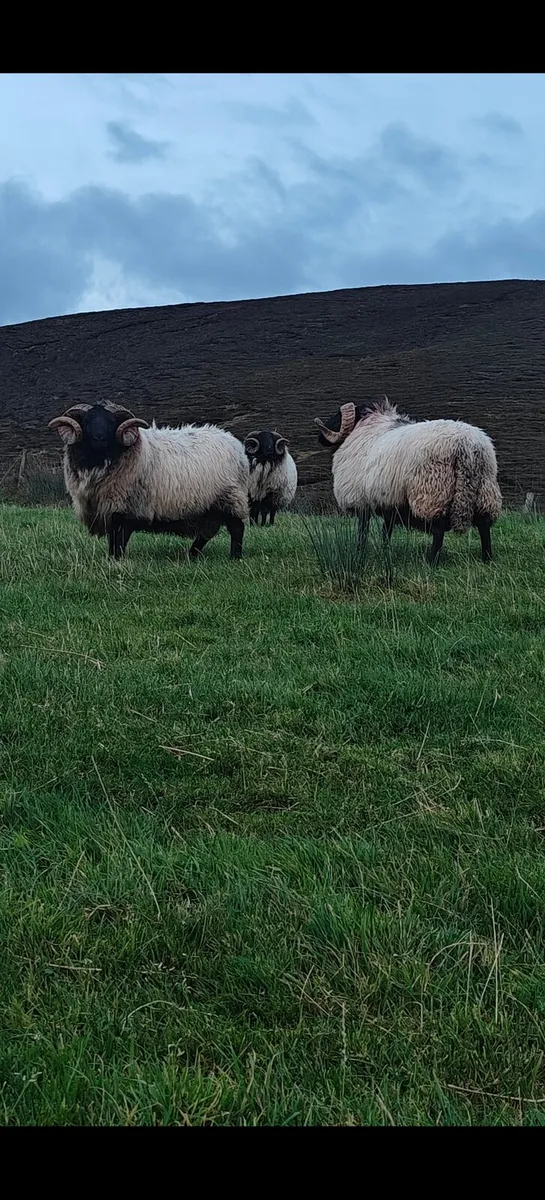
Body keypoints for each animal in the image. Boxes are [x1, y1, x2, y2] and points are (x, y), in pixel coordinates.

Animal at [48, 401, 249, 560]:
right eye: (87, 421)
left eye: (111, 422)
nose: (99, 438)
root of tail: (236, 445)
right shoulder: (108, 509)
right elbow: (113, 539)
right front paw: (111, 558)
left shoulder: (127, 508)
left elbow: (120, 539)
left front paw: (117, 560)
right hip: (211, 505)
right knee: (208, 531)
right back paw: (191, 554)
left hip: (231, 497)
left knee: (236, 528)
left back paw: (235, 557)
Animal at [314, 396, 502, 564]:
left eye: (337, 416)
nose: (320, 438)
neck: (364, 427)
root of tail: (467, 446)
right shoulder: (389, 500)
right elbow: (386, 529)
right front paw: (385, 551)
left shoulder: (361, 501)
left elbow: (363, 530)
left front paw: (359, 552)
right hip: (485, 489)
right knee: (484, 525)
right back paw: (487, 558)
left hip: (433, 490)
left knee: (439, 528)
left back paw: (432, 562)